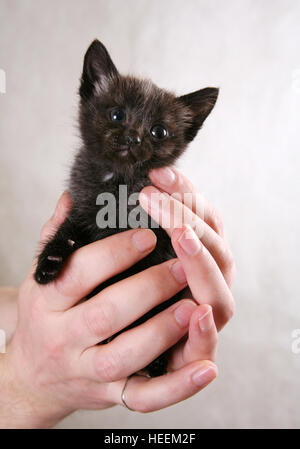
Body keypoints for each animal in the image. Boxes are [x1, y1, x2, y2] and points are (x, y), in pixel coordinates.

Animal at [34, 39, 218, 374]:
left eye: (158, 131)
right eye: (117, 114)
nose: (133, 138)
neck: (117, 184)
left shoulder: (162, 236)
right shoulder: (80, 208)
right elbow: (68, 228)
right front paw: (49, 261)